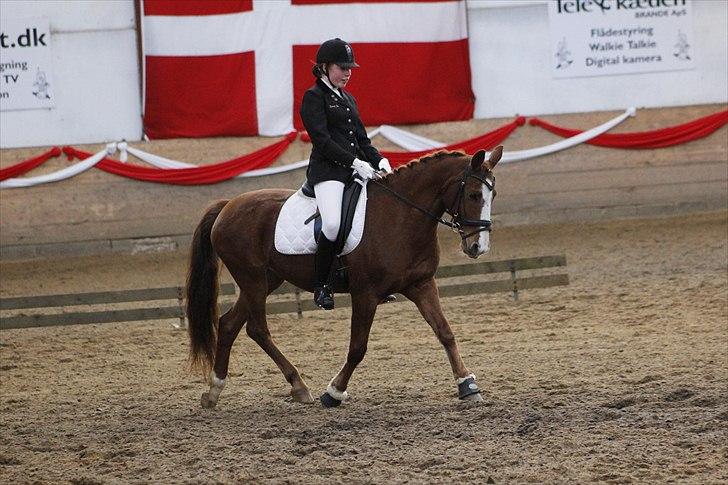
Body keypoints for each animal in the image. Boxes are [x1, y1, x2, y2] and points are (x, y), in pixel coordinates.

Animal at [186, 146, 500, 406]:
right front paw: (334, 392)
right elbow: (357, 348)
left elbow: (445, 332)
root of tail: (228, 205)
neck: (401, 216)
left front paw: (468, 386)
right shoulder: (365, 294)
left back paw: (215, 390)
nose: (478, 247)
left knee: (230, 324)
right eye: (473, 195)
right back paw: (299, 387)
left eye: (492, 196)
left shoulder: (421, 285)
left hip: (265, 280)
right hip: (252, 279)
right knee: (258, 329)